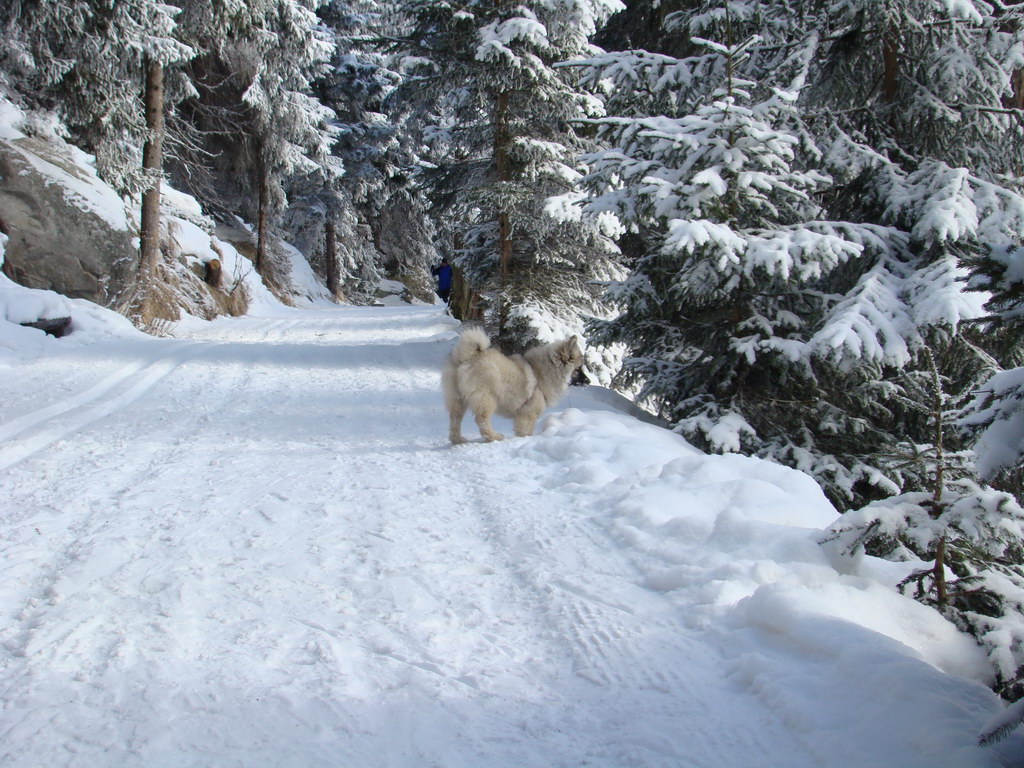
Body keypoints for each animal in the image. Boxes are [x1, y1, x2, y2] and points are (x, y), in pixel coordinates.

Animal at [442, 329, 585, 444]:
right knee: (482, 420)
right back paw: (495, 437)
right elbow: (526, 431)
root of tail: (467, 357)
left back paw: (458, 440)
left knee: (455, 420)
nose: (587, 380)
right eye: (578, 369)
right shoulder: (528, 413)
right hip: (486, 398)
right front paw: (525, 438)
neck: (543, 371)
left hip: (457, 399)